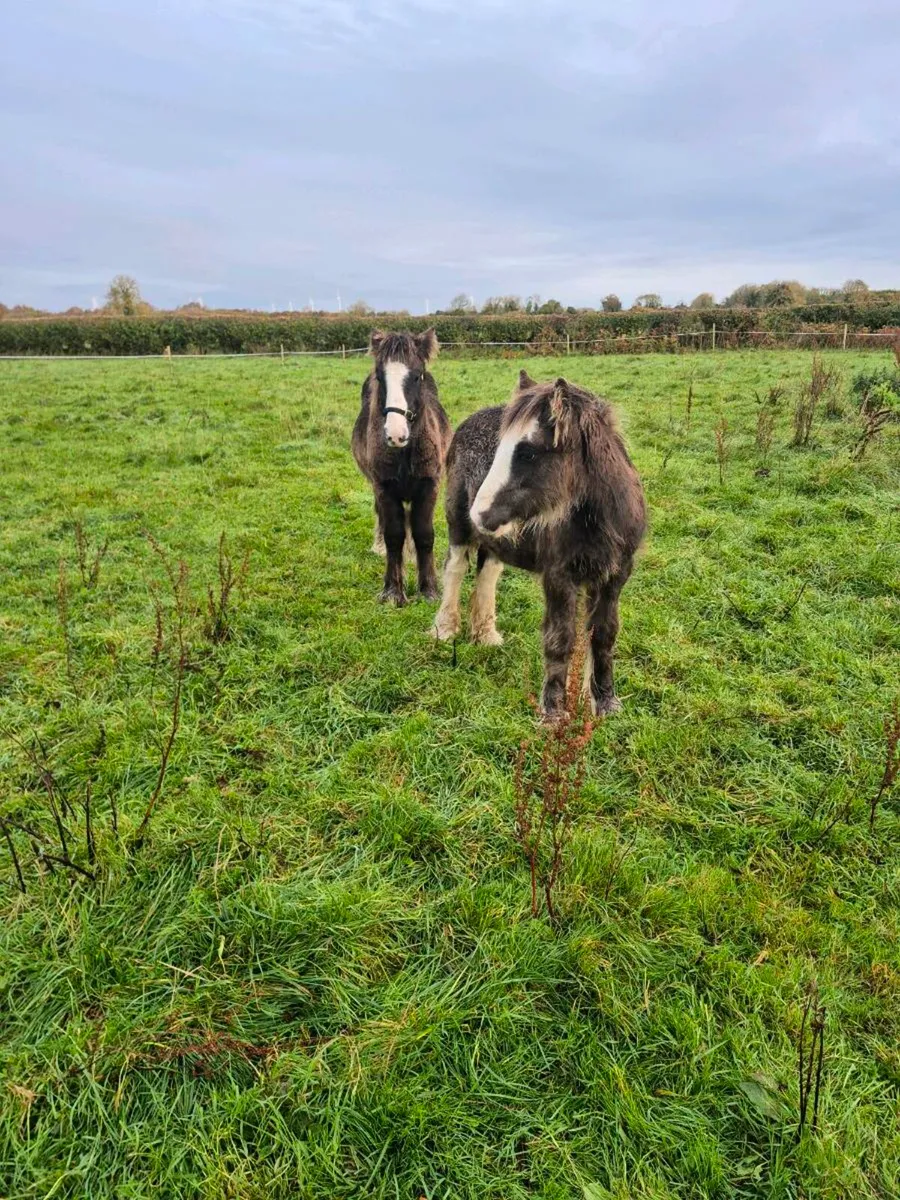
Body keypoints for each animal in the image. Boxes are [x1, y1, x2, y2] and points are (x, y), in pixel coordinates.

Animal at [352, 329, 452, 605]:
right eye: (380, 376)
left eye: (417, 376)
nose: (396, 435)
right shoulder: (384, 488)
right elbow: (394, 535)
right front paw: (393, 591)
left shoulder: (429, 486)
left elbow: (424, 534)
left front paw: (428, 589)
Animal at [432, 369, 646, 718]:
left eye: (528, 452)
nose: (479, 513)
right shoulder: (558, 577)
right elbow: (560, 640)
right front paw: (553, 713)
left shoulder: (615, 575)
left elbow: (603, 635)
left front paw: (605, 702)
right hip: (458, 527)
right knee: (455, 568)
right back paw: (445, 628)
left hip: (498, 538)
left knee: (487, 574)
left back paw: (485, 635)